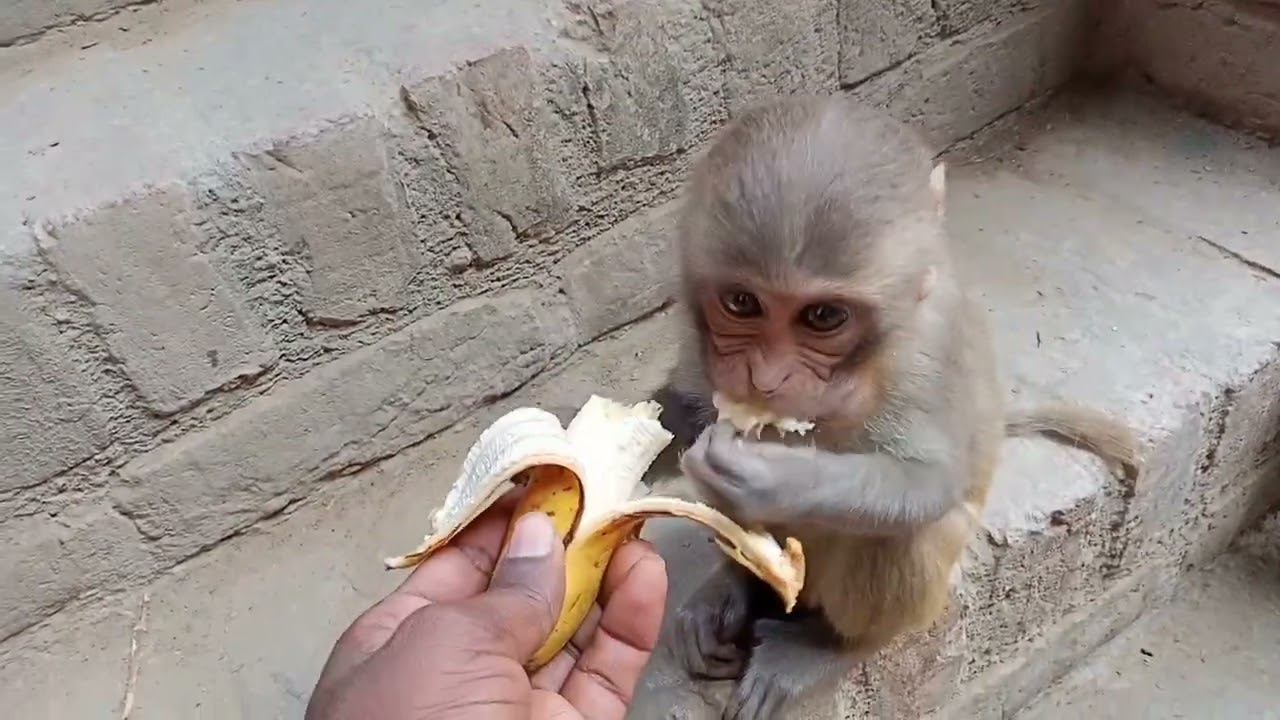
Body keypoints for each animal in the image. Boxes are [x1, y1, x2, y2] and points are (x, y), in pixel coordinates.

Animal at [646, 94, 1142, 720]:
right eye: (741, 302)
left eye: (823, 317)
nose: (766, 377)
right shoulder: (698, 344)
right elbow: (686, 409)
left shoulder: (931, 346)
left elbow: (930, 483)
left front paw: (766, 479)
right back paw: (736, 588)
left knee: (903, 536)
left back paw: (828, 646)